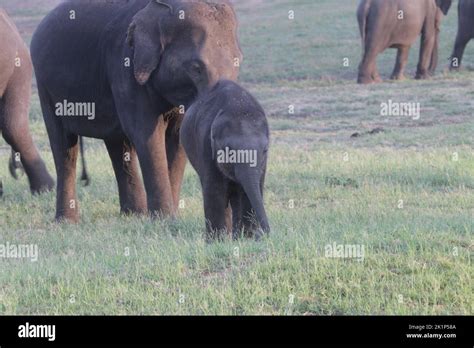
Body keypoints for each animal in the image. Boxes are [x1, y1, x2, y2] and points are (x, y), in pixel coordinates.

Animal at [31, 0, 243, 222]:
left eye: (238, 63)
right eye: (196, 68)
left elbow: (177, 137)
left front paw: (170, 217)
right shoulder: (125, 67)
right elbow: (146, 135)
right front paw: (163, 219)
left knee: (117, 144)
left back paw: (133, 214)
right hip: (45, 87)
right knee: (64, 146)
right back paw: (67, 221)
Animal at [181, 80, 270, 241]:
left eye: (265, 150)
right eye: (229, 152)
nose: (260, 234)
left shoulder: (263, 164)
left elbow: (251, 190)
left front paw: (246, 238)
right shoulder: (205, 145)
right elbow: (214, 190)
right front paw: (216, 241)